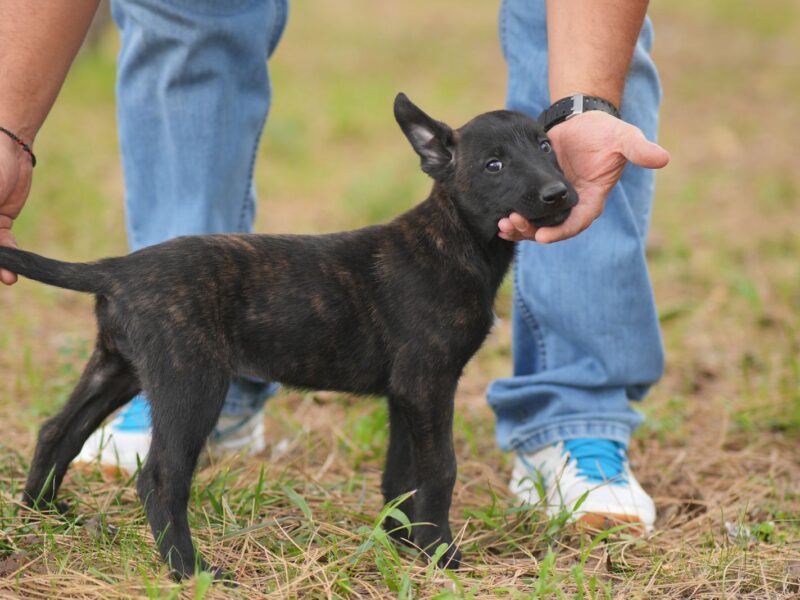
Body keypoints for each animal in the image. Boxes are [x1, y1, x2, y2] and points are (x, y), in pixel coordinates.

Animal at [0, 95, 580, 580]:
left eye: (546, 147)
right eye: (493, 165)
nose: (560, 193)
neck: (453, 239)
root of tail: (116, 269)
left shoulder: (404, 394)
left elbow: (400, 476)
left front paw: (400, 543)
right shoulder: (429, 385)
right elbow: (439, 470)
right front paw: (440, 554)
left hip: (117, 367)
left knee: (57, 431)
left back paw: (45, 513)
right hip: (191, 384)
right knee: (160, 478)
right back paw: (191, 570)